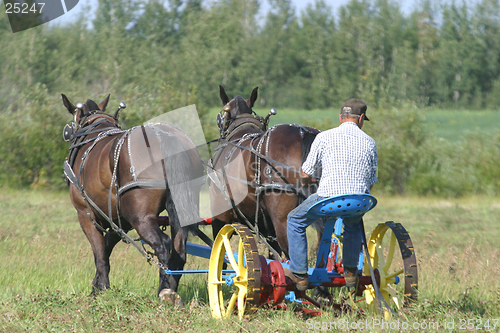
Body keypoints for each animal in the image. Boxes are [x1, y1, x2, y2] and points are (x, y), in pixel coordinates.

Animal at [62, 93, 203, 304]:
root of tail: (165, 137)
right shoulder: (120, 220)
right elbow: (107, 247)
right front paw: (96, 286)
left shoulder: (86, 215)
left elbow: (100, 255)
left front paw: (103, 289)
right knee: (179, 252)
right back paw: (172, 290)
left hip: (140, 218)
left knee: (163, 245)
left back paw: (164, 292)